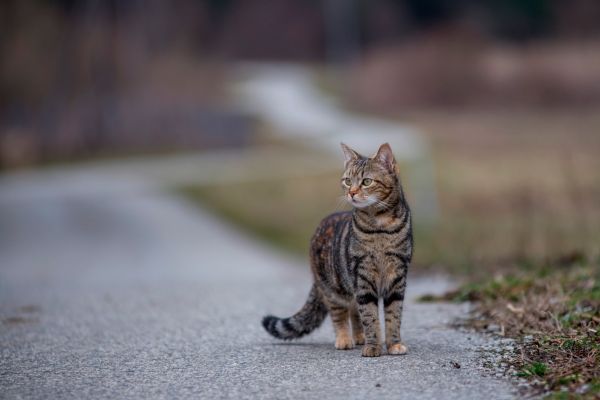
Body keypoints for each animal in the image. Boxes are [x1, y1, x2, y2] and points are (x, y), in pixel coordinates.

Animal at [262, 143, 412, 356]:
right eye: (348, 181)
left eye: (366, 181)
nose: (352, 193)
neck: (380, 225)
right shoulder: (362, 277)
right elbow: (370, 316)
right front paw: (373, 346)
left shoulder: (397, 277)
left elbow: (393, 315)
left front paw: (393, 344)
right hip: (333, 288)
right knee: (340, 315)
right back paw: (345, 339)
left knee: (354, 311)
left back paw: (359, 337)